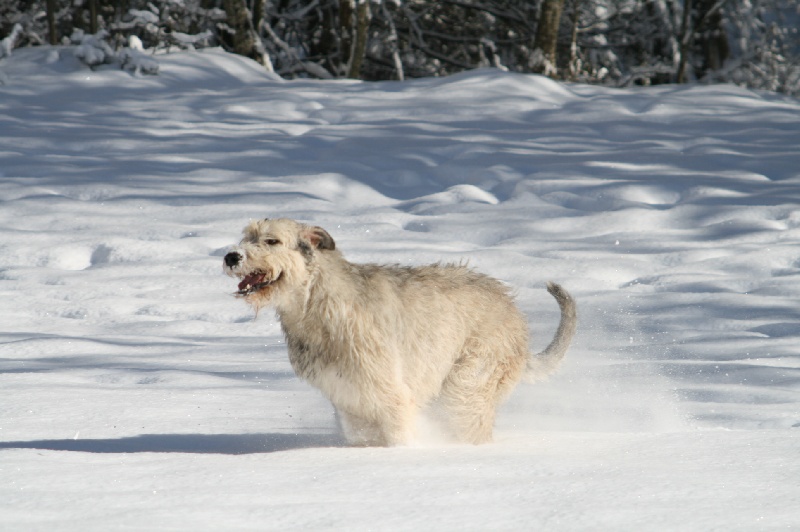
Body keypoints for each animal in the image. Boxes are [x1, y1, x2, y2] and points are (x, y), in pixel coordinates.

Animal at [223, 218, 576, 446]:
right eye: (246, 237)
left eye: (271, 241)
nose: (230, 256)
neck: (317, 301)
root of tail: (515, 312)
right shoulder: (349, 399)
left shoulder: (389, 392)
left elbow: (398, 432)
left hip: (469, 382)